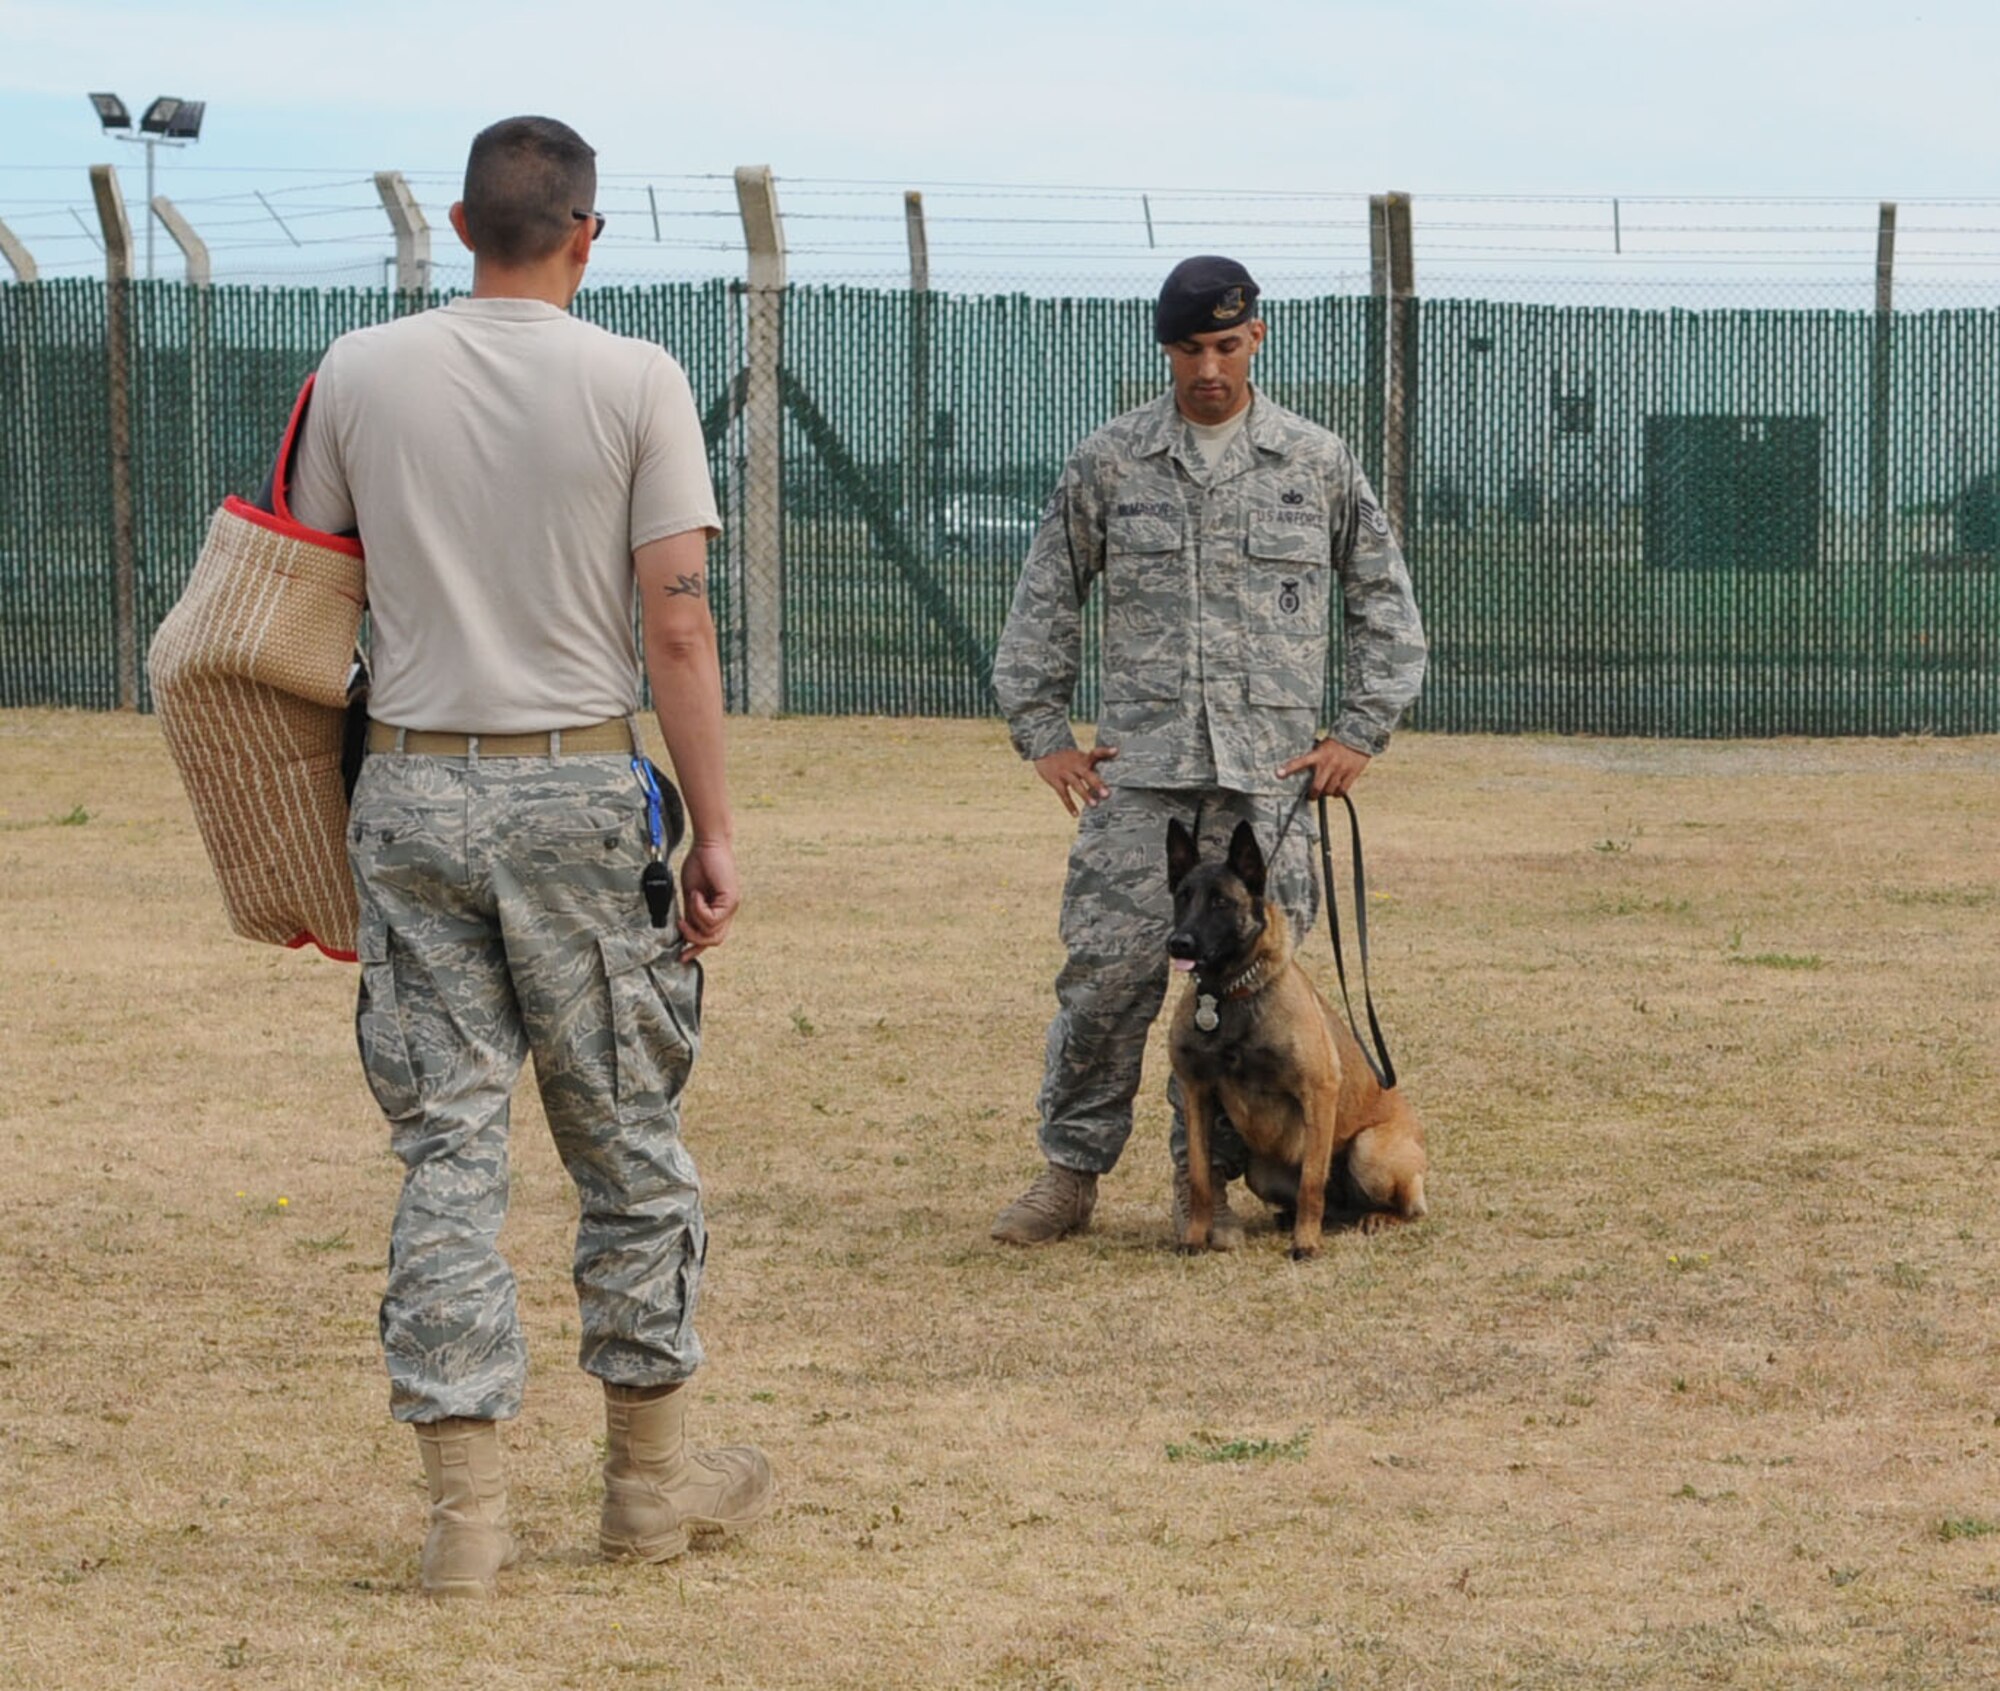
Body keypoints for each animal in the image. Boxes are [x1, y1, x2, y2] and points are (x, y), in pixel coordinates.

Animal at [1168, 819, 1432, 1255]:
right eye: (1182, 897)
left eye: (1221, 902)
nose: (1179, 943)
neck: (1230, 995)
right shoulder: (1197, 1094)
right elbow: (1201, 1177)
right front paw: (1193, 1237)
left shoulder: (1319, 1091)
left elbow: (1311, 1183)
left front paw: (1306, 1244)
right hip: (1262, 1170)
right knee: (1334, 1206)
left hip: (1369, 1152)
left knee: (1403, 1206)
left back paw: (1376, 1217)